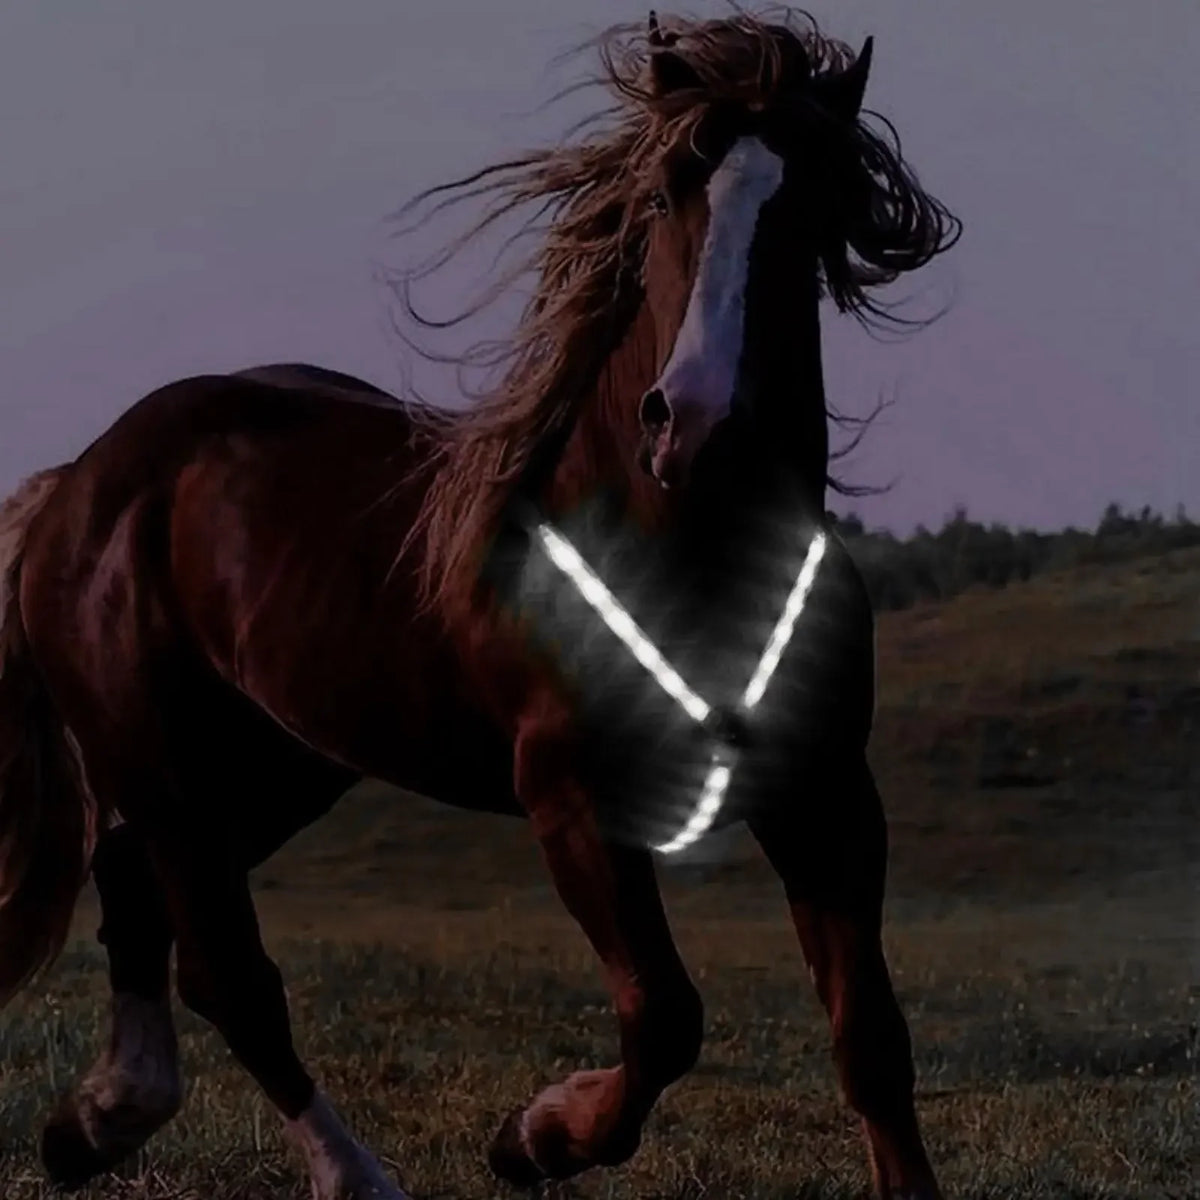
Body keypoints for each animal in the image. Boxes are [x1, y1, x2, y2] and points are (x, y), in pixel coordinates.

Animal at [0, 11, 960, 1199]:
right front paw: (532, 1137)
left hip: (280, 762)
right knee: (230, 973)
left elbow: (869, 1038)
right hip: (164, 763)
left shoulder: (826, 794)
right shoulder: (573, 801)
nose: (694, 426)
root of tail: (79, 482)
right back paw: (349, 1174)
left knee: (135, 888)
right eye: (663, 197)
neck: (686, 546)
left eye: (811, 202)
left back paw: (95, 1124)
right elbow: (665, 1018)